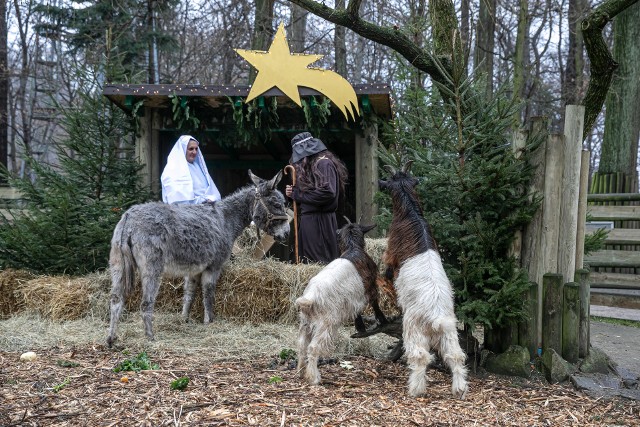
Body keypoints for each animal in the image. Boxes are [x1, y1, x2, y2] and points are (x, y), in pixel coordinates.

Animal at [296, 222, 390, 386]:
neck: (352, 247)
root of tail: (310, 297)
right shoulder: (371, 287)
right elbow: (375, 303)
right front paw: (381, 319)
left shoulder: (353, 299)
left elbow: (356, 311)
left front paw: (360, 326)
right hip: (326, 322)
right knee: (313, 347)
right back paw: (314, 377)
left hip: (305, 321)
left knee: (302, 345)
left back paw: (301, 371)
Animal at [378, 162, 468, 400]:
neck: (410, 214)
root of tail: (436, 317)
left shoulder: (390, 257)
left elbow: (386, 275)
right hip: (449, 333)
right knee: (455, 356)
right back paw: (459, 388)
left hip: (414, 328)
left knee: (420, 357)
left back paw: (415, 389)